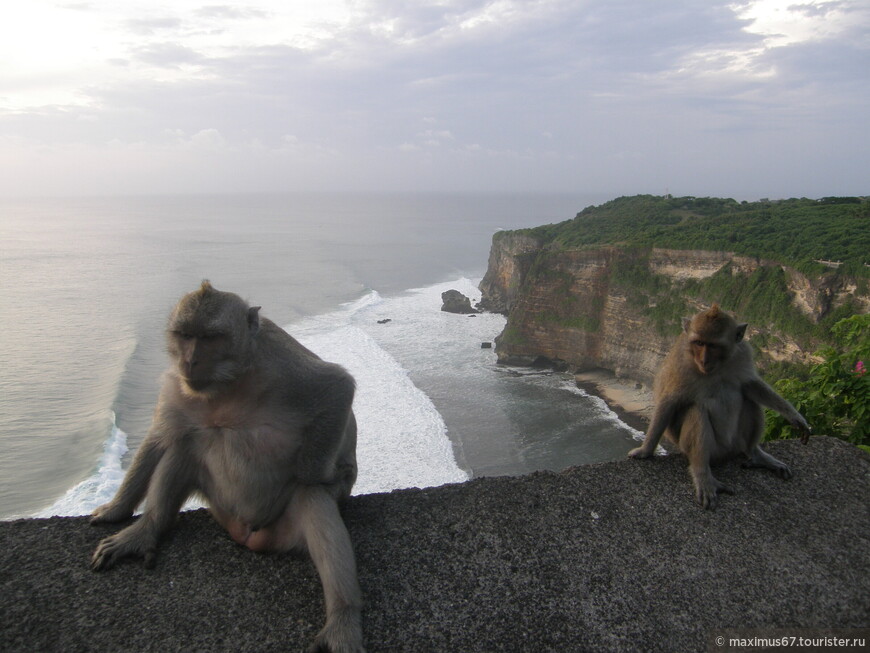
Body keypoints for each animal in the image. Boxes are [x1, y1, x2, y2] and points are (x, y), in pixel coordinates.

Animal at [93, 278, 366, 652]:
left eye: (211, 337)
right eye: (185, 335)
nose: (191, 360)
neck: (230, 383)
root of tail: (247, 536)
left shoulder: (282, 364)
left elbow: (336, 388)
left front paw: (321, 472)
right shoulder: (180, 384)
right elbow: (160, 440)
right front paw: (116, 509)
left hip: (281, 528)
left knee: (312, 499)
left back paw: (342, 619)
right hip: (221, 508)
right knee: (186, 447)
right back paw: (147, 529)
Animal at [632, 304, 816, 506]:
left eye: (713, 345)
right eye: (699, 343)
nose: (704, 360)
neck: (717, 367)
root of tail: (726, 452)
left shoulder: (743, 353)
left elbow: (750, 385)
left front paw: (795, 417)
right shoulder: (681, 365)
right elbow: (668, 402)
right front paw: (645, 450)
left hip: (735, 443)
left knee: (749, 402)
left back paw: (755, 454)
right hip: (709, 448)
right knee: (696, 412)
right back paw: (702, 473)